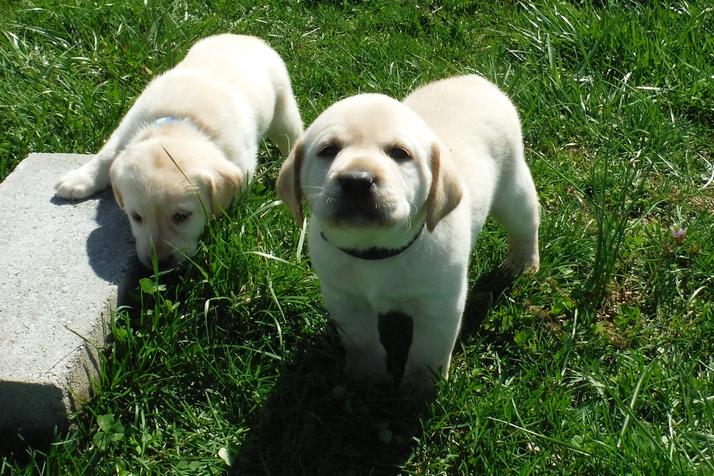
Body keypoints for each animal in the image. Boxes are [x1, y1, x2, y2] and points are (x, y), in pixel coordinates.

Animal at [55, 33, 300, 268]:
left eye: (182, 216)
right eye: (136, 217)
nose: (160, 264)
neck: (182, 123)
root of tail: (244, 38)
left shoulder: (242, 165)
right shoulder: (127, 128)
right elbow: (106, 156)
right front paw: (79, 179)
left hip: (284, 109)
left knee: (291, 137)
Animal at [278, 75, 540, 390]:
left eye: (399, 154)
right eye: (328, 150)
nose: (357, 181)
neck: (375, 252)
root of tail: (473, 79)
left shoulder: (440, 305)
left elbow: (428, 351)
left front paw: (419, 388)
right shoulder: (345, 301)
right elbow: (362, 344)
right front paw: (366, 377)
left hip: (513, 188)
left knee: (526, 224)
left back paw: (523, 263)